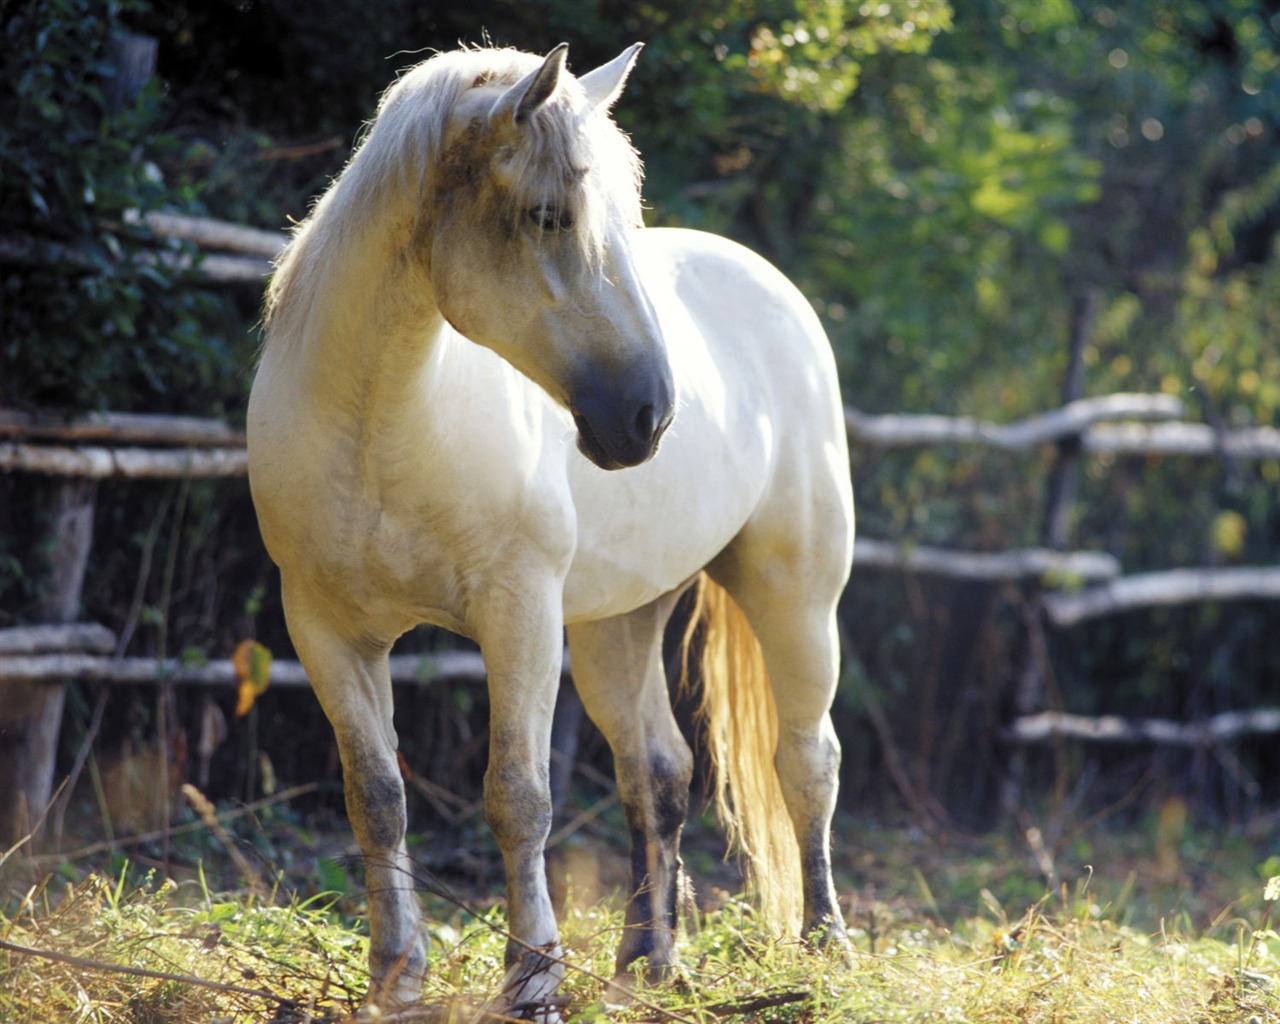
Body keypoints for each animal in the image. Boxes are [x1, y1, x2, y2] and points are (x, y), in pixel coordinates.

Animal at [247, 41, 849, 1013]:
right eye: (546, 216)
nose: (649, 414)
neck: (380, 426)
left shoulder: (519, 616)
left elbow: (518, 797)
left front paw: (532, 978)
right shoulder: (326, 630)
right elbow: (376, 798)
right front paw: (396, 977)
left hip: (797, 596)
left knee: (807, 760)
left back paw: (826, 943)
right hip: (619, 624)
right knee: (658, 774)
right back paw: (648, 961)